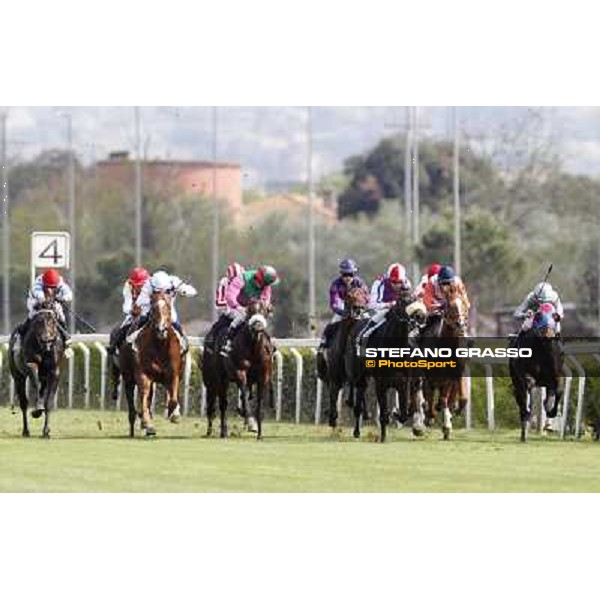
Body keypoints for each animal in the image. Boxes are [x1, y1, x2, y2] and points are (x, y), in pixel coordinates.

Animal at [8, 298, 65, 436]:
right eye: (38, 321)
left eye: (53, 321)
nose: (46, 339)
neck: (44, 348)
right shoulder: (31, 364)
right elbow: (35, 383)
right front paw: (37, 410)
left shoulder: (54, 371)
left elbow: (48, 401)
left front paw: (46, 431)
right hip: (18, 375)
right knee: (23, 402)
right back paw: (26, 430)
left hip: (43, 377)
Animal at [132, 290, 184, 436]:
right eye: (153, 308)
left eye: (168, 307)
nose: (161, 329)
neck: (160, 346)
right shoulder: (143, 372)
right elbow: (144, 395)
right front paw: (146, 423)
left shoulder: (173, 373)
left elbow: (173, 398)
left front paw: (174, 413)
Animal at [314, 288, 370, 432]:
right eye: (349, 296)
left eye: (364, 295)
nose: (358, 309)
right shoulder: (334, 375)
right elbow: (334, 392)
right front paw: (332, 417)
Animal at [418, 292, 468, 438]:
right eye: (450, 306)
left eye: (464, 304)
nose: (460, 324)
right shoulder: (428, 377)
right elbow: (428, 398)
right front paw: (430, 417)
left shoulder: (450, 378)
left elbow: (447, 398)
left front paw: (447, 425)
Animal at [508, 304, 564, 440]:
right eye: (538, 315)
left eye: (555, 316)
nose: (548, 334)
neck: (543, 348)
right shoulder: (526, 375)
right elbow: (529, 389)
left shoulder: (556, 375)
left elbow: (558, 390)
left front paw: (550, 411)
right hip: (516, 379)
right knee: (522, 400)